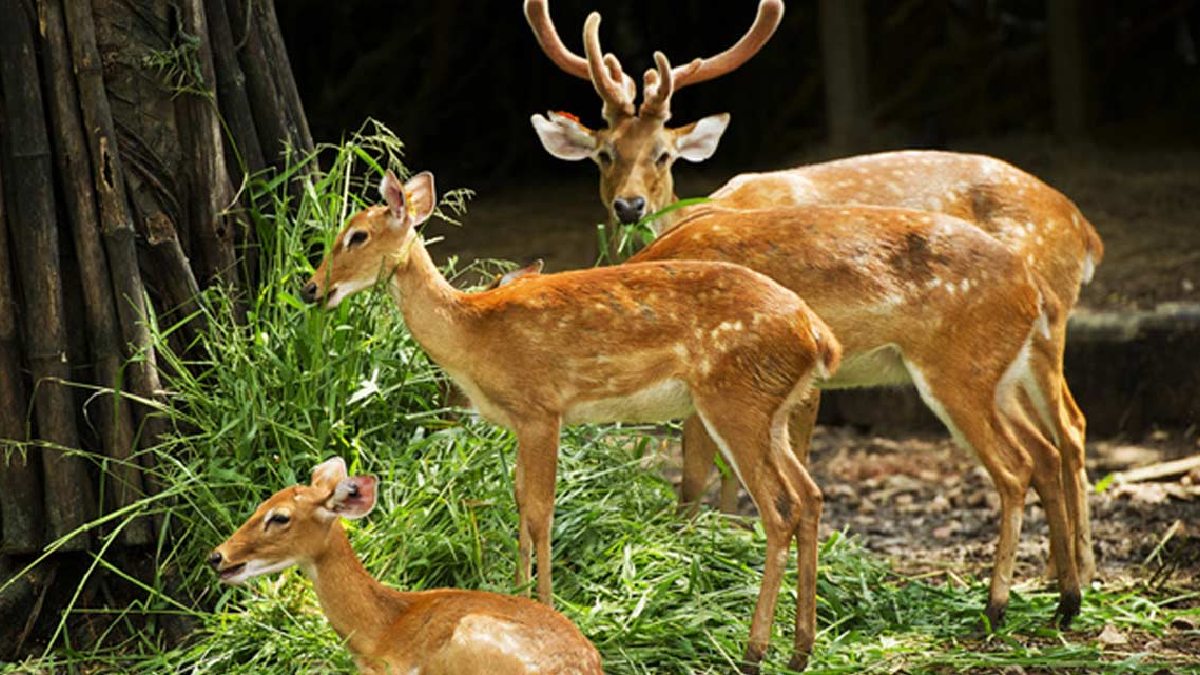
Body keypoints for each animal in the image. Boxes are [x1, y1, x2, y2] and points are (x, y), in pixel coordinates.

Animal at [302, 170, 843, 671]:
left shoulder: (542, 408)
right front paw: (518, 594)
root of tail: (819, 336)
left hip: (735, 401)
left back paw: (754, 652)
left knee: (781, 507)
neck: (472, 333)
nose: (310, 289)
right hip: (772, 410)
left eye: (357, 235)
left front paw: (545, 602)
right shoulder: (522, 421)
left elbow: (541, 511)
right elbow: (520, 502)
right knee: (812, 495)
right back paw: (801, 650)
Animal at [525, 0, 1102, 590]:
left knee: (1068, 430)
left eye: (663, 154)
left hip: (1040, 334)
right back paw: (1060, 577)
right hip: (1010, 366)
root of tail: (1084, 232)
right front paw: (725, 539)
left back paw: (1071, 574)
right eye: (604, 153)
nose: (629, 207)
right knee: (1048, 445)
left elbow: (711, 470)